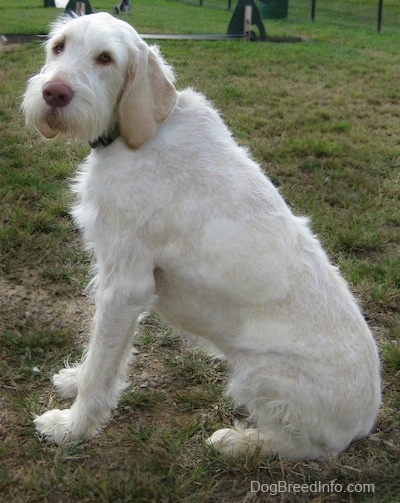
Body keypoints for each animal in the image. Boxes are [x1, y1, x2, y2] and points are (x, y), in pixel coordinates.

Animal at [22, 12, 382, 460]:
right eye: (59, 47)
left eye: (105, 58)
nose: (54, 93)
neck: (140, 134)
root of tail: (364, 423)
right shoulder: (120, 285)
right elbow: (104, 357)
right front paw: (75, 380)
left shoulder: (125, 286)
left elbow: (102, 365)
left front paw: (71, 429)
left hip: (259, 374)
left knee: (304, 448)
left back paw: (238, 441)